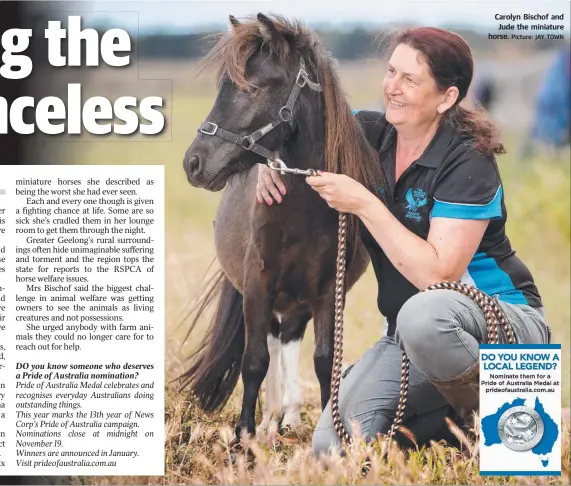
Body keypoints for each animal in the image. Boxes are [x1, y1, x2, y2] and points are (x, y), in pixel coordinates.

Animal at [181, 12, 386, 444]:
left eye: (253, 88)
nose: (193, 163)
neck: (302, 211)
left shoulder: (327, 290)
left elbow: (324, 360)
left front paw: (326, 428)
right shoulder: (258, 284)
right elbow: (255, 361)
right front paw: (244, 436)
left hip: (295, 301)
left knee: (288, 340)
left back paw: (288, 418)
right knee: (274, 347)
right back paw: (271, 420)